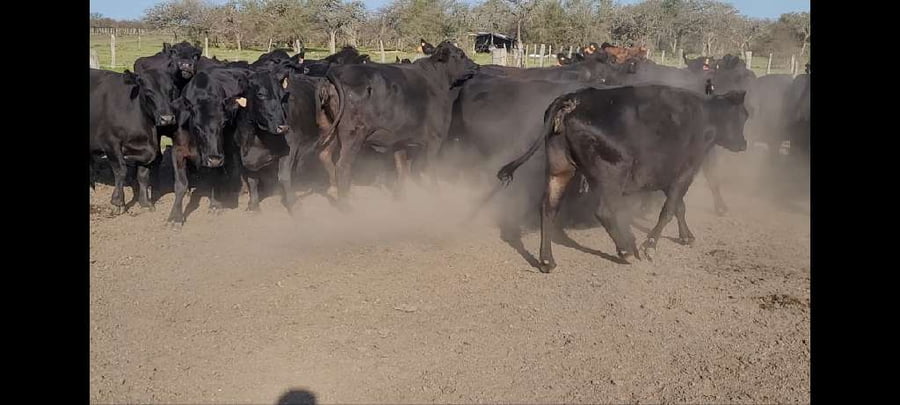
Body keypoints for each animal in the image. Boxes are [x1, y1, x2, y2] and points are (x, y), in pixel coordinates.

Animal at [90, 68, 178, 214]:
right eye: (148, 91)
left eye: (171, 90)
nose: (167, 118)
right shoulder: (110, 143)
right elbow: (121, 170)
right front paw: (118, 202)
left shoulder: (148, 148)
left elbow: (143, 174)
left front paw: (145, 202)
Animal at [166, 65, 250, 225]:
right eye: (197, 126)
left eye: (223, 123)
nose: (214, 159)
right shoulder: (178, 151)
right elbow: (180, 184)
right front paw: (175, 216)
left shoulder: (220, 153)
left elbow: (214, 176)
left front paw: (216, 204)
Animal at [315, 41, 478, 208]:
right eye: (460, 54)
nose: (476, 66)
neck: (437, 80)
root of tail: (336, 72)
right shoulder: (435, 138)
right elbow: (429, 168)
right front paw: (436, 195)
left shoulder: (400, 141)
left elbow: (403, 170)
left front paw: (400, 198)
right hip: (353, 135)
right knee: (342, 166)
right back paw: (346, 205)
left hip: (330, 129)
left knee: (325, 156)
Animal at [495, 84, 748, 272]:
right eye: (742, 117)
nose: (744, 144)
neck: (706, 117)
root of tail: (573, 100)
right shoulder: (685, 171)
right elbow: (669, 209)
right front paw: (651, 245)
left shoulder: (667, 176)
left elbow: (679, 207)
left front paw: (687, 236)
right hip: (613, 172)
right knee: (604, 211)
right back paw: (627, 249)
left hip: (560, 170)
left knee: (548, 207)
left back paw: (547, 260)